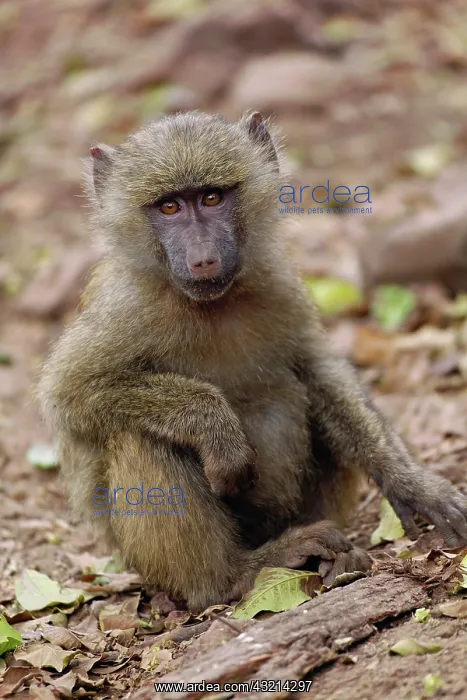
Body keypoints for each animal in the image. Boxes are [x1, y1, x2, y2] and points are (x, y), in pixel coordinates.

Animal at [39, 111, 467, 611]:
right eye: (169, 208)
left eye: (211, 197)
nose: (203, 258)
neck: (210, 304)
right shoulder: (124, 307)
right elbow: (70, 394)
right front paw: (214, 427)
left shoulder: (277, 282)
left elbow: (317, 369)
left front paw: (411, 484)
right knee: (138, 436)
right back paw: (235, 575)